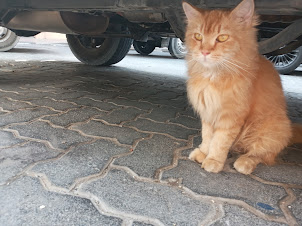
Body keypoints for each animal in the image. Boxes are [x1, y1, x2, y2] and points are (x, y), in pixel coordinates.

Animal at [182, 0, 292, 175]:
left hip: (271, 130)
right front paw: (204, 153)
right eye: (198, 36)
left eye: (222, 38)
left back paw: (244, 162)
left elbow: (219, 141)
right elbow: (207, 137)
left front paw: (213, 160)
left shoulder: (231, 116)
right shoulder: (208, 112)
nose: (204, 52)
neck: (213, 75)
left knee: (262, 155)